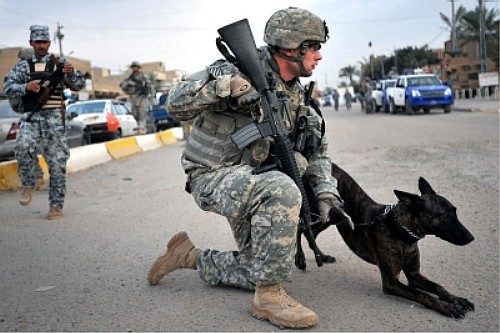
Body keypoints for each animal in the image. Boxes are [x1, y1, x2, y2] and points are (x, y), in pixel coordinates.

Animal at [296, 162, 476, 318]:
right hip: (316, 211)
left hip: (330, 216)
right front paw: (446, 306)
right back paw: (300, 259)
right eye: (444, 215)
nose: (471, 238)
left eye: (455, 211)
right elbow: (422, 294)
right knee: (300, 227)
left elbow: (438, 287)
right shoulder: (391, 282)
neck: (400, 230)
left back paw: (322, 256)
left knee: (310, 233)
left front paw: (456, 299)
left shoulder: (414, 275)